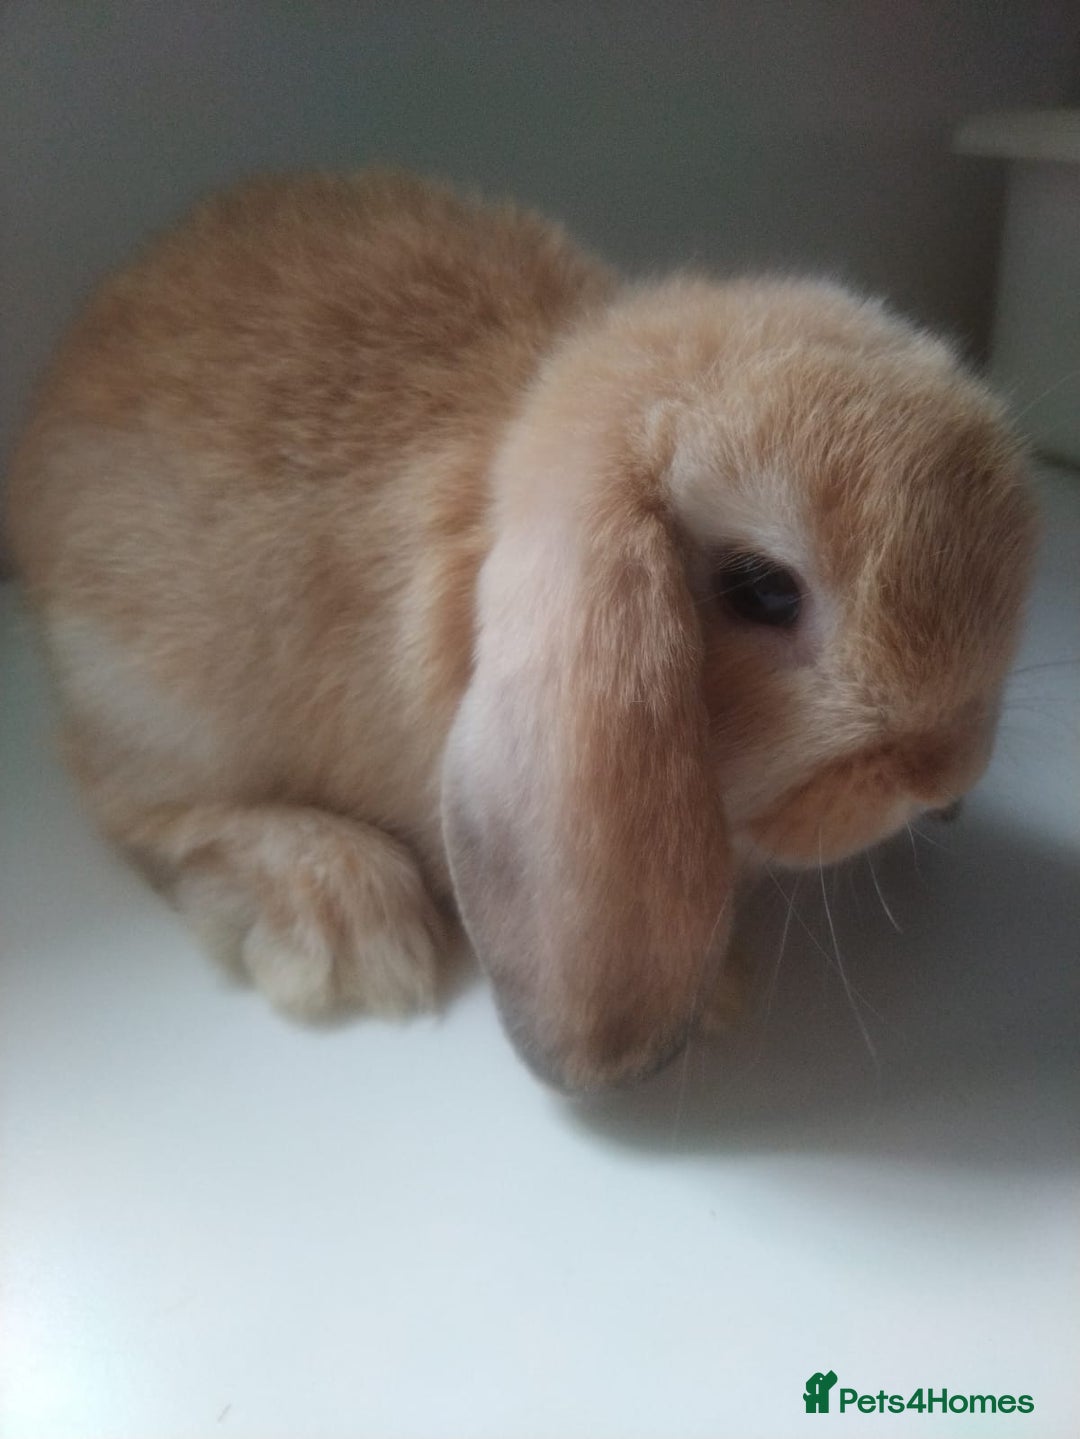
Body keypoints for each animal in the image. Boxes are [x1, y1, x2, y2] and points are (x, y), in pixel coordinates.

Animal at [5, 170, 1037, 1091]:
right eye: (763, 590)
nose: (947, 771)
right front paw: (715, 997)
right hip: (161, 696)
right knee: (137, 805)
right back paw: (343, 915)